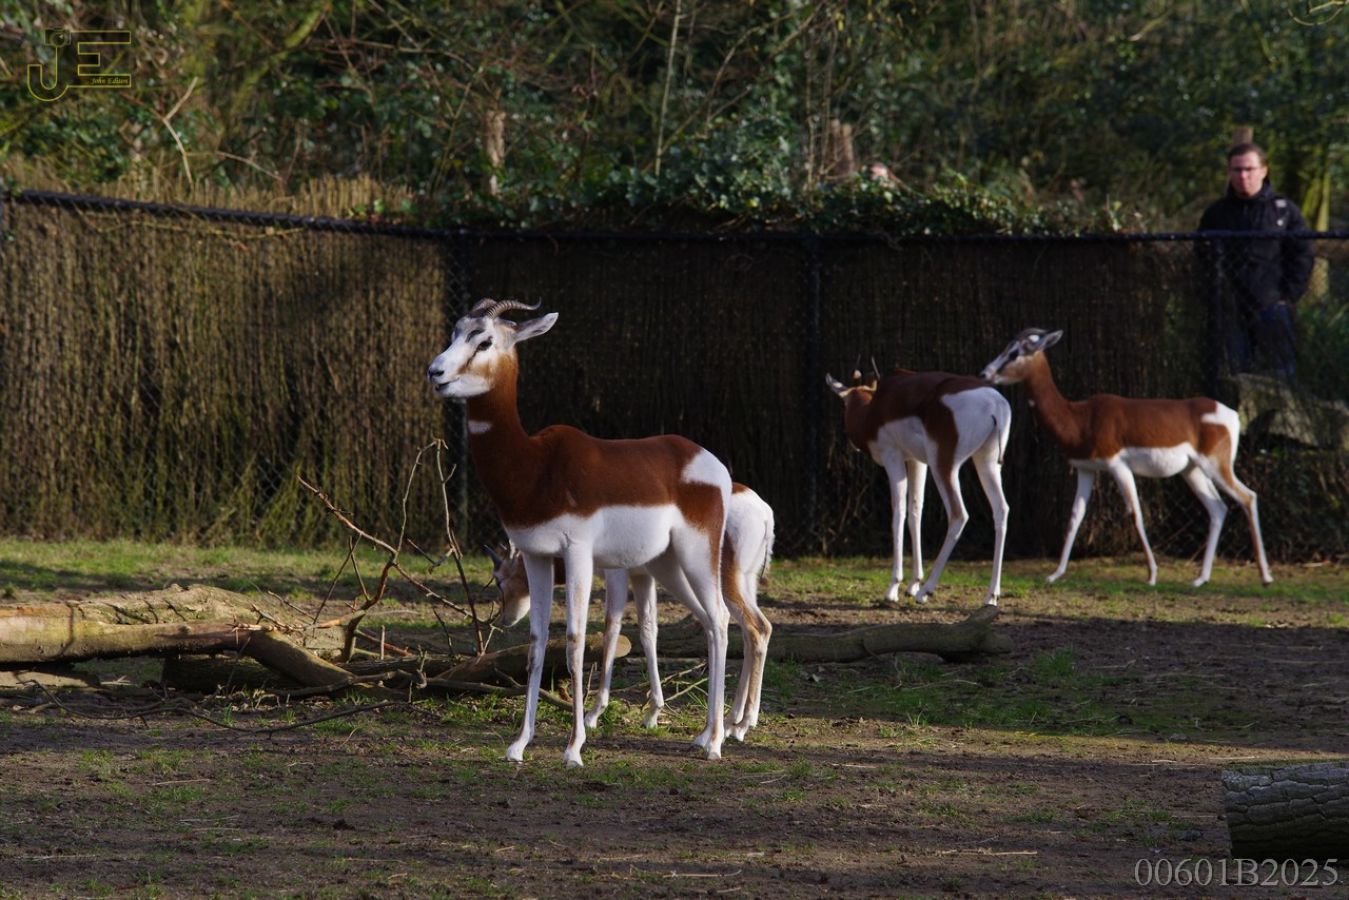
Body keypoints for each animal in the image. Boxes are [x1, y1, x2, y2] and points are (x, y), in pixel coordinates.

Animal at [427, 299, 733, 767]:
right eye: (456, 332)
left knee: (720, 618)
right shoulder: (536, 556)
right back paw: (702, 736)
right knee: (708, 623)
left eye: (484, 340)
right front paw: (519, 743)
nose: (435, 372)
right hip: (666, 565)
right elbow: (537, 643)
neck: (535, 466)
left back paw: (716, 741)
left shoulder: (577, 555)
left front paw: (573, 747)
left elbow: (573, 641)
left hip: (698, 554)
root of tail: (711, 463)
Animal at [486, 481, 774, 741]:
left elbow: (611, 628)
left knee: (756, 628)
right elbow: (648, 631)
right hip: (746, 582)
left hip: (725, 582)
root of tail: (763, 511)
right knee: (754, 632)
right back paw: (732, 721)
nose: (504, 619)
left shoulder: (617, 575)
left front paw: (594, 714)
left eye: (499, 580)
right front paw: (653, 712)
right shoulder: (642, 577)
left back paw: (741, 725)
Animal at [825, 366, 1012, 606]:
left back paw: (926, 592)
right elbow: (915, 512)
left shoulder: (892, 455)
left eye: (845, 405)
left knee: (959, 514)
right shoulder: (916, 461)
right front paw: (913, 583)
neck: (876, 408)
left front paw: (894, 587)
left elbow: (898, 513)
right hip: (986, 461)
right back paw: (991, 596)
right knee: (1001, 510)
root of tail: (996, 405)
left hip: (943, 465)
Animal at [979, 327, 1272, 587]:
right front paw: (1054, 574)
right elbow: (1075, 516)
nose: (985, 373)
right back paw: (1200, 579)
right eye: (1006, 347)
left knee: (1248, 497)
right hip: (1192, 471)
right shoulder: (1086, 469)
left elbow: (1134, 513)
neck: (1080, 417)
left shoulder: (1117, 466)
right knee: (1217, 508)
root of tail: (1230, 414)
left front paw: (1152, 575)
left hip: (1216, 465)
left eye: (1014, 352)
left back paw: (1265, 577)